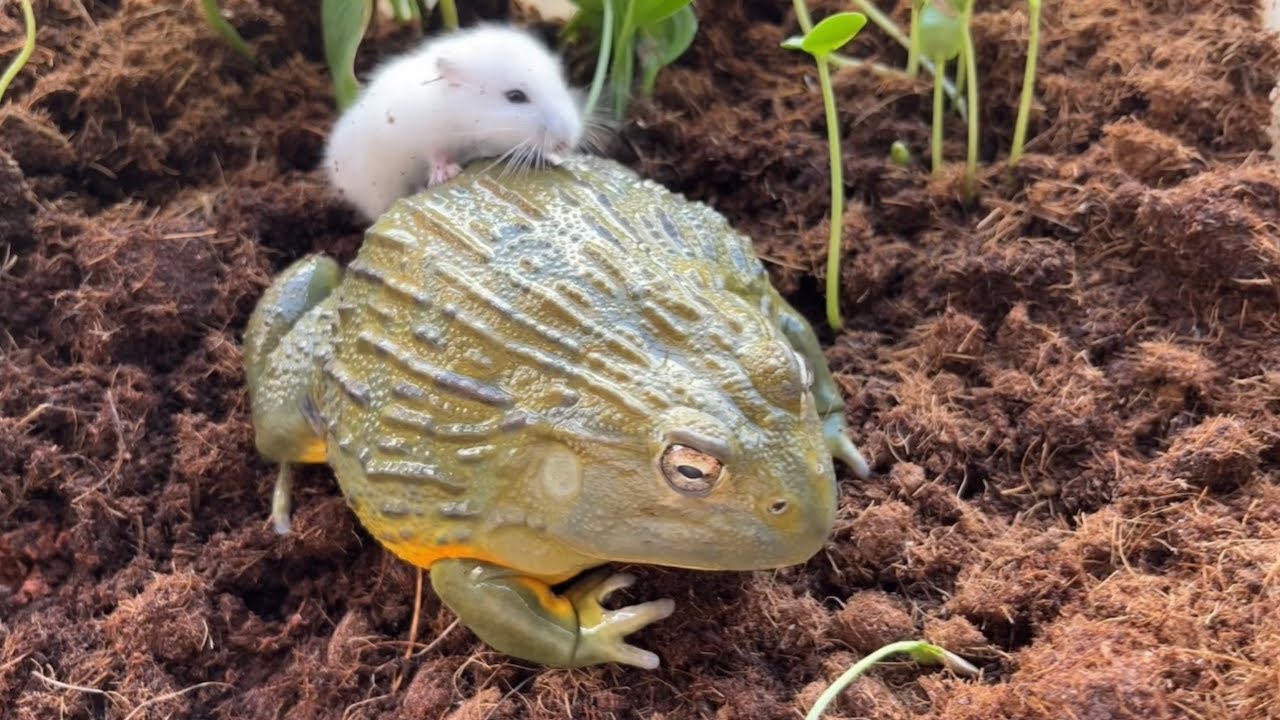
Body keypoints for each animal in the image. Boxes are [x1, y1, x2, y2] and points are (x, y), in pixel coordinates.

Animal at [323, 24, 585, 221]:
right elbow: (435, 154)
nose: (567, 143)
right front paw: (447, 174)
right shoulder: (424, 135)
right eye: (515, 96)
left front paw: (555, 157)